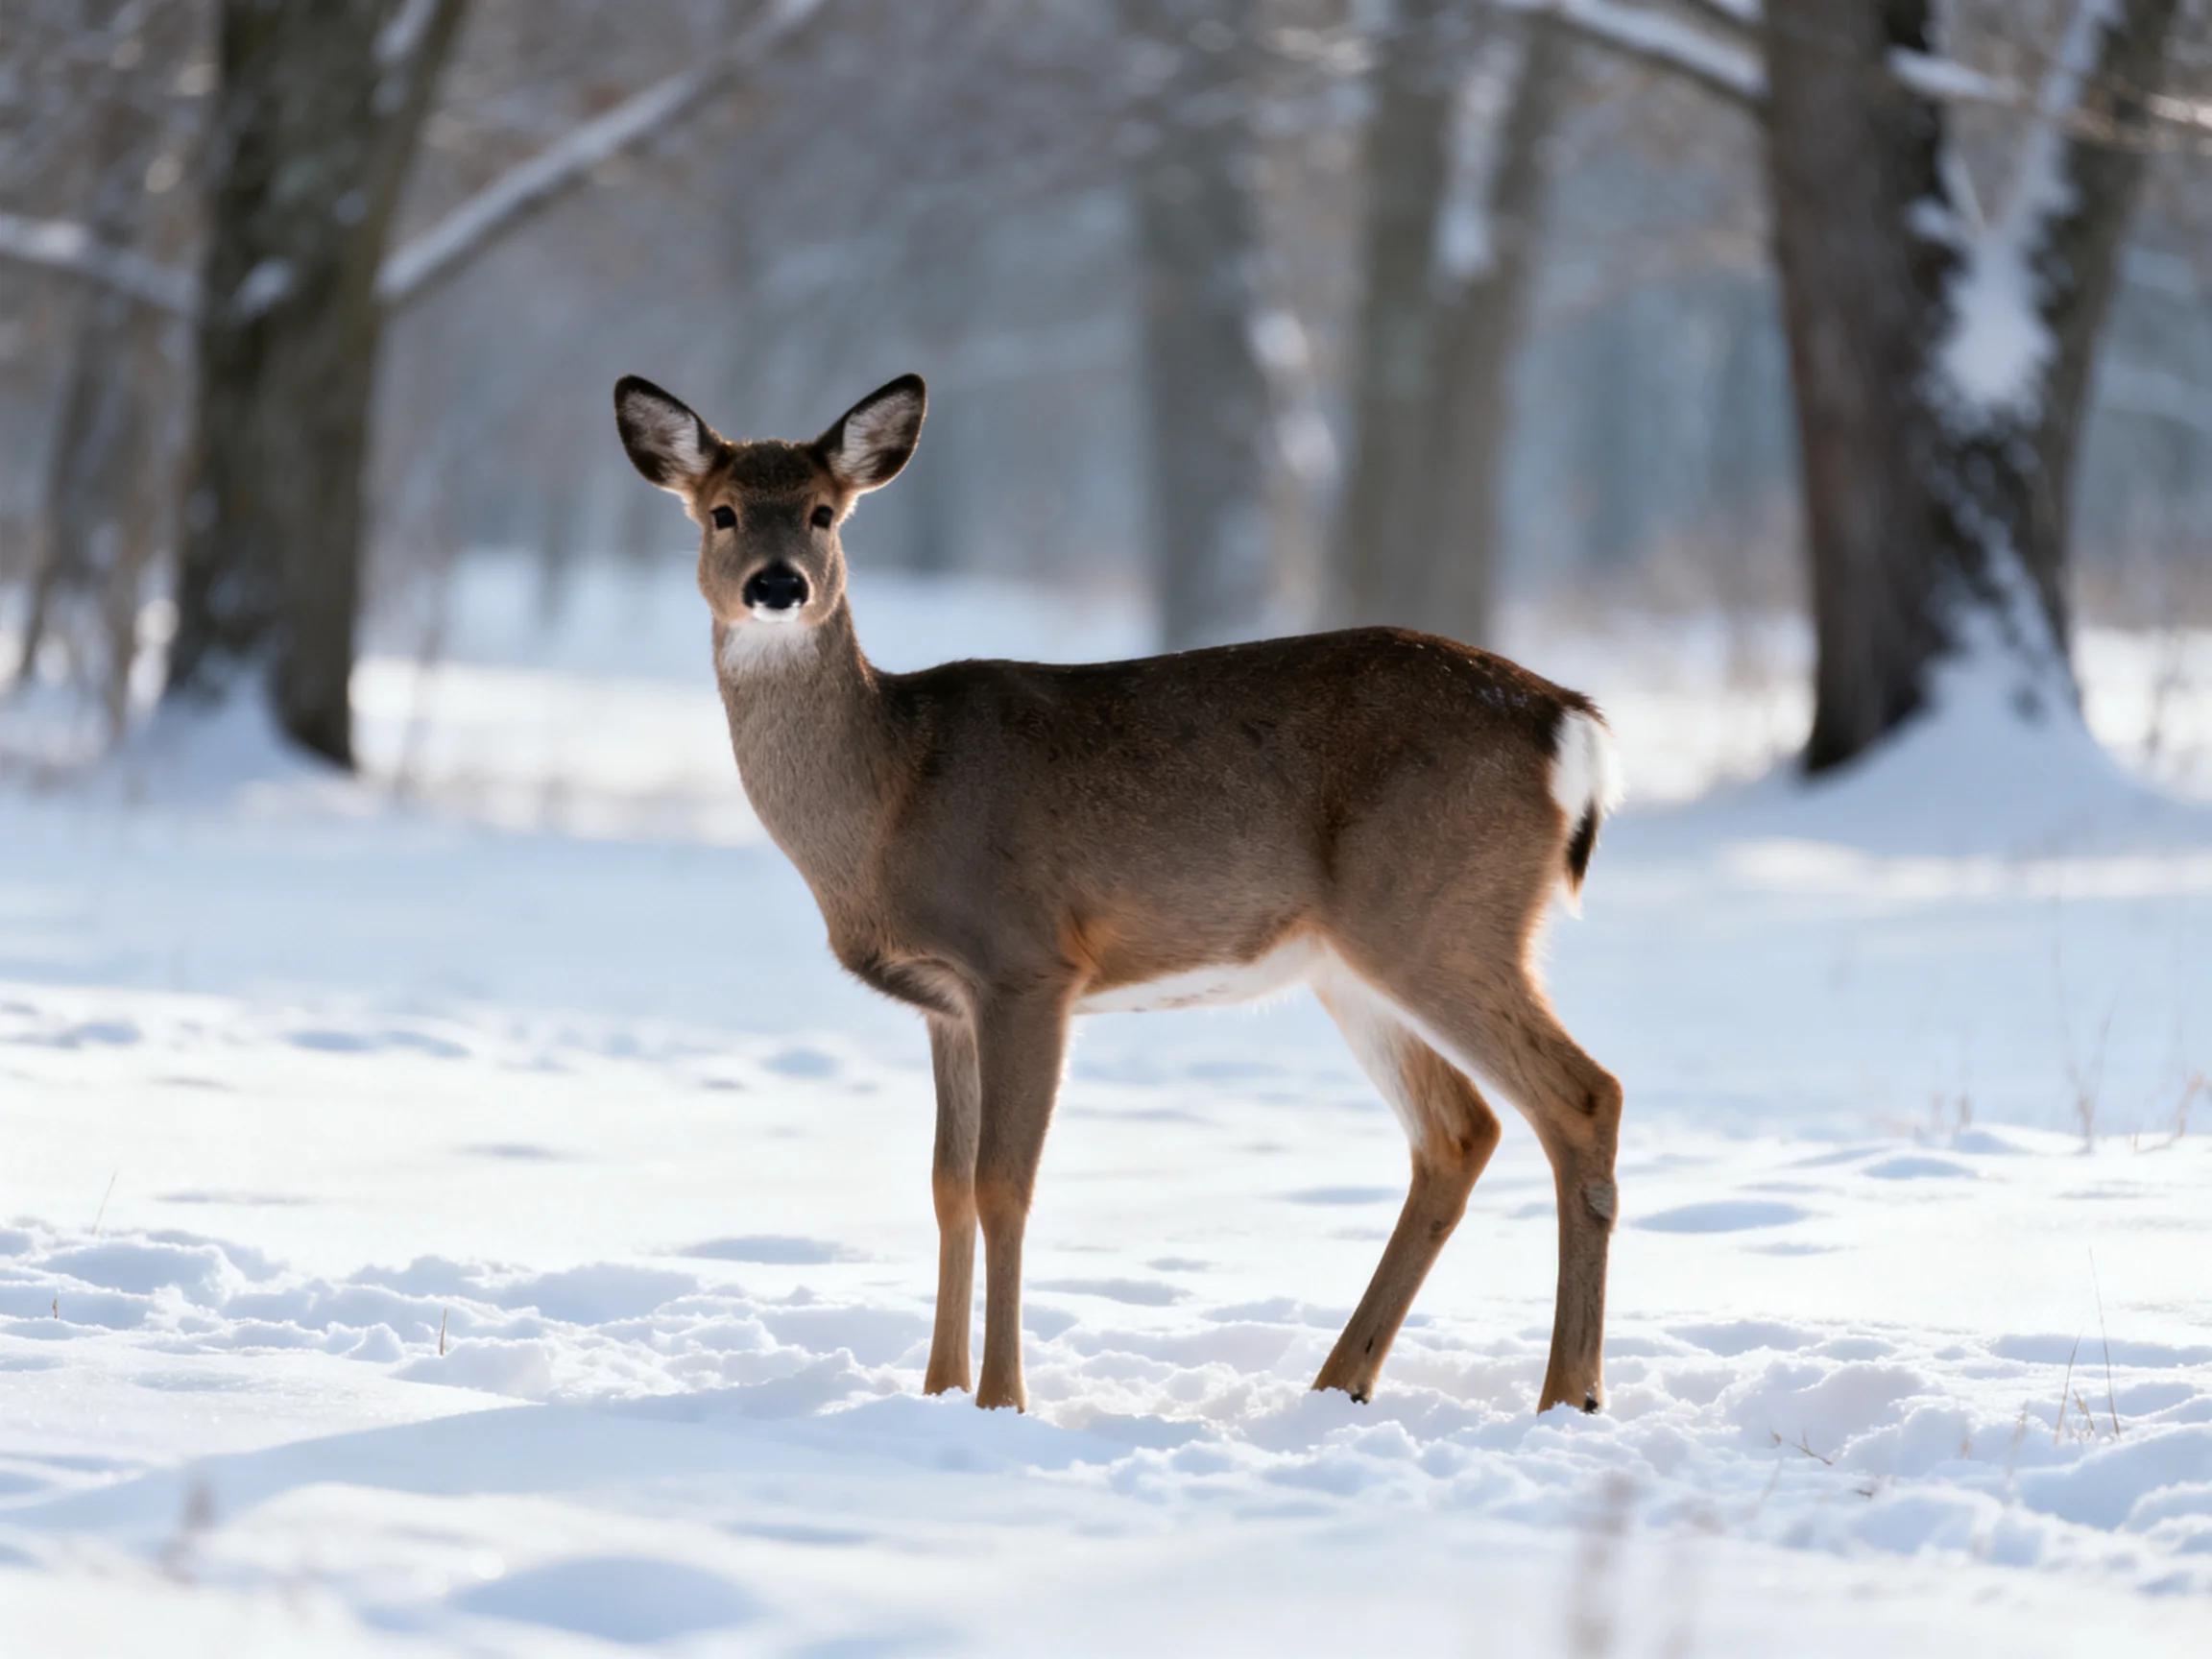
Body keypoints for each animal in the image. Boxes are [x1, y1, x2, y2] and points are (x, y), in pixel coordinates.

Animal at [614, 371, 1626, 1416]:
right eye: (723, 513)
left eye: (823, 512)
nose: (779, 584)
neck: (893, 794)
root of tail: (1569, 722)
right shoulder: (946, 1002)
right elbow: (946, 1188)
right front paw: (936, 1392)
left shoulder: (1028, 963)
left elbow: (1004, 1185)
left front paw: (1002, 1401)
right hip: (1355, 962)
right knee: (1459, 1132)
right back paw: (1339, 1383)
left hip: (1442, 918)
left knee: (1584, 1097)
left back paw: (1569, 1395)